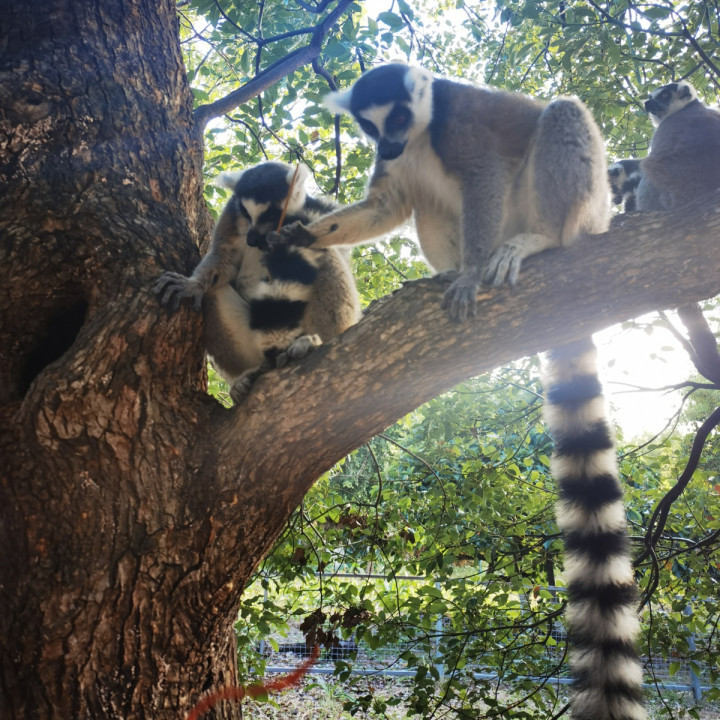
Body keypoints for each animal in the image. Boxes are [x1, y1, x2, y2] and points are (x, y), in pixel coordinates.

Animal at [153, 162, 361, 403]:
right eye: (245, 212)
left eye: (271, 213)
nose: (251, 239)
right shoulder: (232, 215)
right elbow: (224, 256)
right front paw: (192, 285)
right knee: (214, 293)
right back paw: (246, 376)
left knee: (325, 257)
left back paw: (313, 342)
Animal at [266, 63, 609, 323]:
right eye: (370, 127)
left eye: (399, 117)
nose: (387, 148)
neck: (420, 134)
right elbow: (385, 206)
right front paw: (304, 235)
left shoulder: (460, 125)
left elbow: (484, 176)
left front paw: (471, 275)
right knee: (426, 204)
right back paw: (450, 272)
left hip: (583, 204)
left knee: (563, 112)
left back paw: (541, 238)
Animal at [638, 80, 720, 211]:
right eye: (651, 97)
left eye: (664, 95)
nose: (647, 103)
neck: (686, 107)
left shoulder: (667, 126)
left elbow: (653, 164)